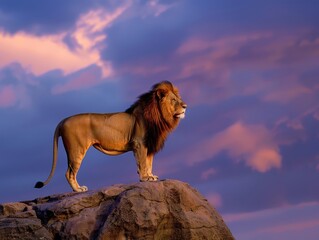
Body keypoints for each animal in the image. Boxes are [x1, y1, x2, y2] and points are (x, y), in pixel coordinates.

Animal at [34, 81, 188, 192]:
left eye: (178, 98)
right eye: (174, 100)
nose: (185, 106)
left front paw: (151, 176)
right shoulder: (139, 143)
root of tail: (63, 120)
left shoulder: (149, 144)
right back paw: (78, 189)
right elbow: (143, 163)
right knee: (69, 173)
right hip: (76, 150)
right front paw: (145, 178)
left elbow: (149, 163)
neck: (158, 116)